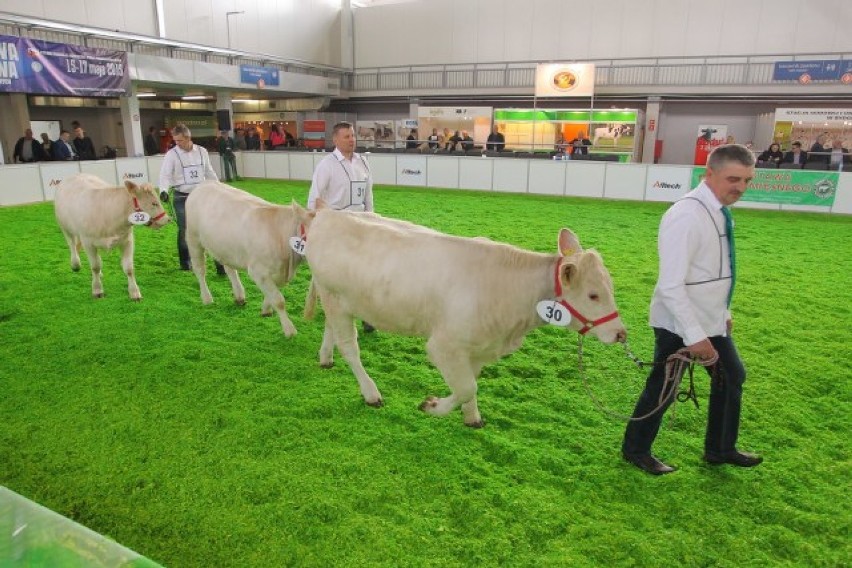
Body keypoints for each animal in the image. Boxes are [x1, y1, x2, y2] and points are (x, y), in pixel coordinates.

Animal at [304, 211, 624, 428]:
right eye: (594, 295)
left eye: (610, 287)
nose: (621, 333)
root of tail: (327, 213)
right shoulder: (444, 345)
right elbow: (468, 386)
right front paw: (432, 406)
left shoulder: (479, 348)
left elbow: (470, 384)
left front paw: (472, 417)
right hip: (335, 296)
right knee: (350, 347)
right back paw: (371, 393)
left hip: (337, 299)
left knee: (331, 330)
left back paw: (325, 357)